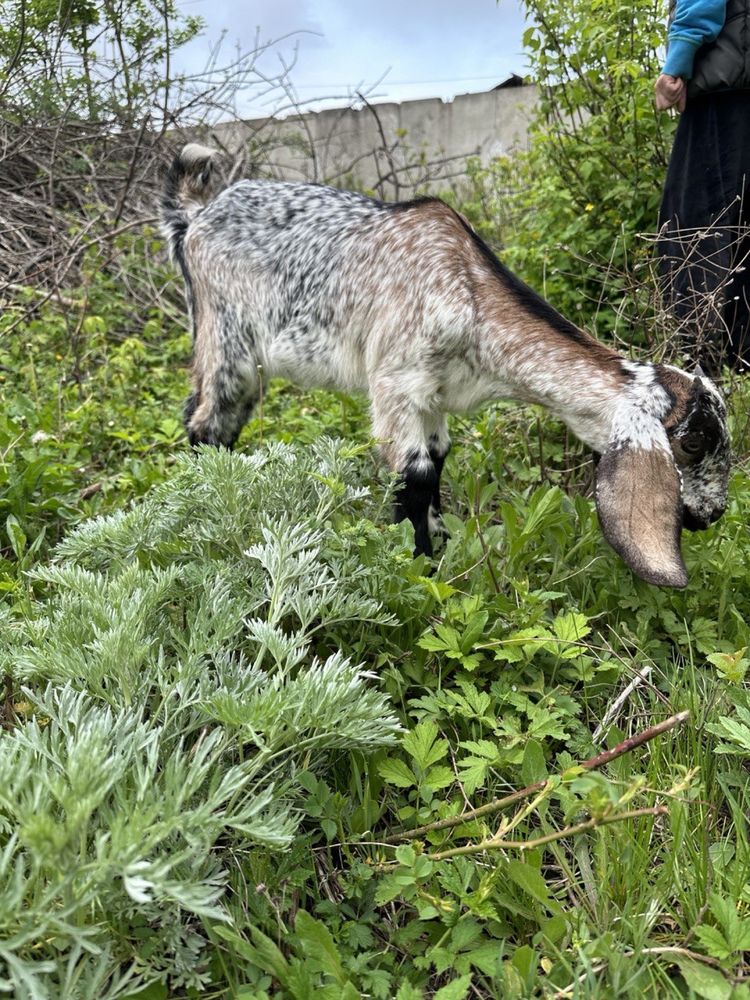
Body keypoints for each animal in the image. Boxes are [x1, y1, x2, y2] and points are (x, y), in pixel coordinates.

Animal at [162, 145, 732, 588]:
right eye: (692, 442)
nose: (714, 515)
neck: (468, 293)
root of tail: (196, 214)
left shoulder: (433, 394)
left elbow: (436, 462)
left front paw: (441, 545)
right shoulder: (395, 385)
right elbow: (412, 476)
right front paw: (419, 571)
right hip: (227, 337)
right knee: (207, 423)